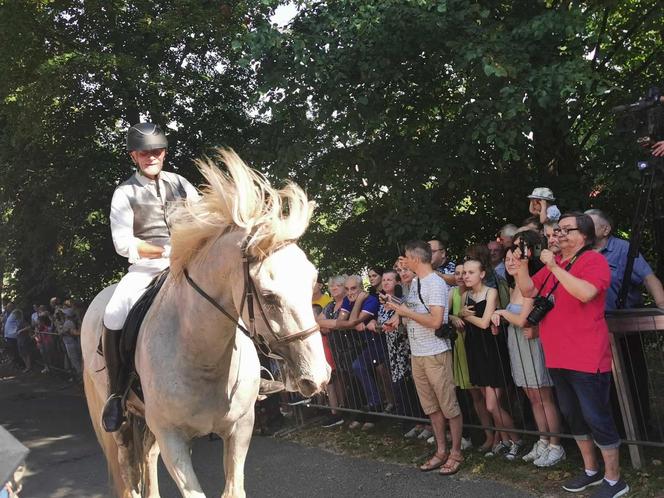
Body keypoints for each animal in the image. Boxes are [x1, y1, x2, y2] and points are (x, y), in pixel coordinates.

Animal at [81, 149, 330, 498]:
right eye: (269, 296)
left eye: (311, 285)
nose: (318, 378)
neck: (203, 355)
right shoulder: (172, 437)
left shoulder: (240, 428)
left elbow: (233, 489)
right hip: (122, 420)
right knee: (128, 467)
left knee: (147, 457)